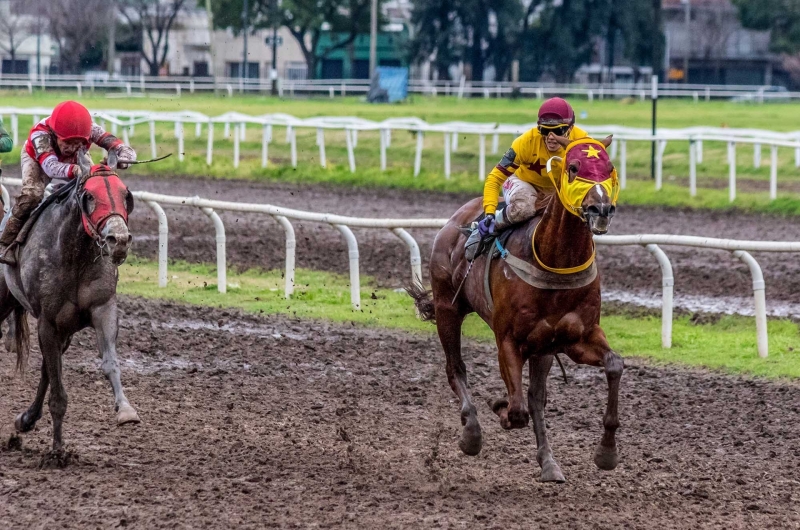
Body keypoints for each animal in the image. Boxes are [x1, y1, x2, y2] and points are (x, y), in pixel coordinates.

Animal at [0, 157, 138, 458]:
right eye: (90, 196)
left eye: (126, 195)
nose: (119, 240)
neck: (75, 255)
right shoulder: (48, 322)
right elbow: (57, 391)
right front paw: (57, 452)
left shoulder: (101, 308)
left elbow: (108, 362)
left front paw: (125, 410)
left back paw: (26, 420)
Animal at [410, 135, 620, 478]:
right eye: (573, 167)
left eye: (609, 167)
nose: (600, 209)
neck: (556, 261)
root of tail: (456, 219)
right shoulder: (508, 339)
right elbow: (517, 408)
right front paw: (500, 409)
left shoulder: (576, 337)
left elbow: (614, 365)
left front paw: (606, 452)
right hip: (447, 308)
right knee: (456, 368)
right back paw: (471, 432)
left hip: (543, 346)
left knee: (536, 397)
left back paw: (549, 463)